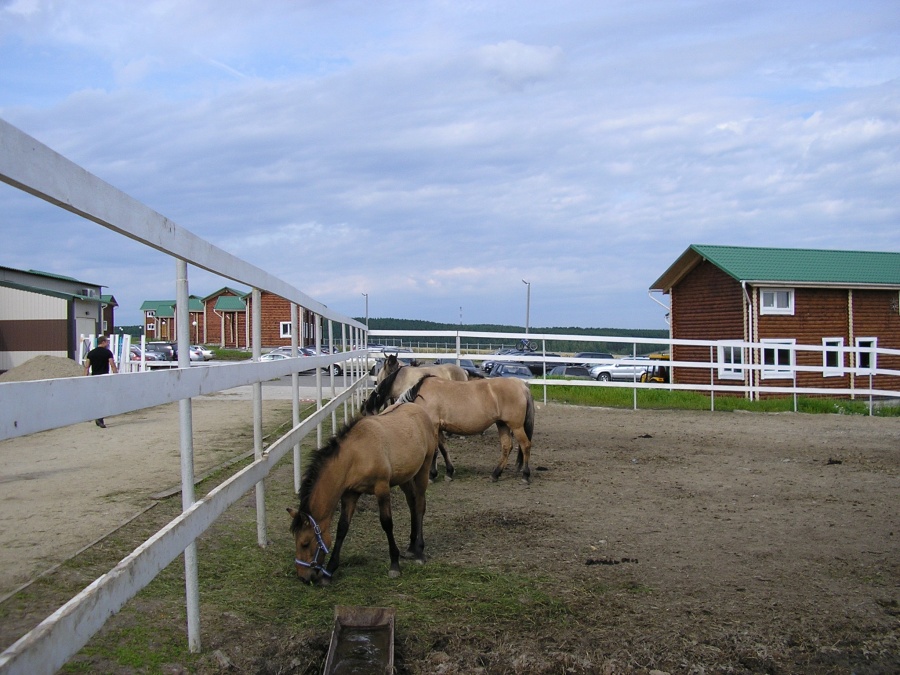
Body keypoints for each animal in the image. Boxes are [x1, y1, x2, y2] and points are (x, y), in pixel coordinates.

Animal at [286, 404, 438, 584]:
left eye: (305, 543)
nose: (303, 577)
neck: (356, 455)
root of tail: (420, 410)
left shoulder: (382, 488)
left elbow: (387, 523)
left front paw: (394, 564)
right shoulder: (350, 494)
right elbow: (342, 528)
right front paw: (329, 571)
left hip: (424, 469)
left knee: (420, 505)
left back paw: (419, 552)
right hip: (405, 478)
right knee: (412, 504)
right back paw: (411, 547)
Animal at [388, 378, 532, 484]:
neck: (422, 396)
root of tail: (521, 386)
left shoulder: (434, 426)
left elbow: (435, 451)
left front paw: (432, 476)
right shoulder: (439, 429)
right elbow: (444, 449)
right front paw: (449, 472)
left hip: (516, 427)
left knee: (525, 445)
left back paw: (525, 475)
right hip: (502, 425)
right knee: (507, 447)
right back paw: (495, 474)